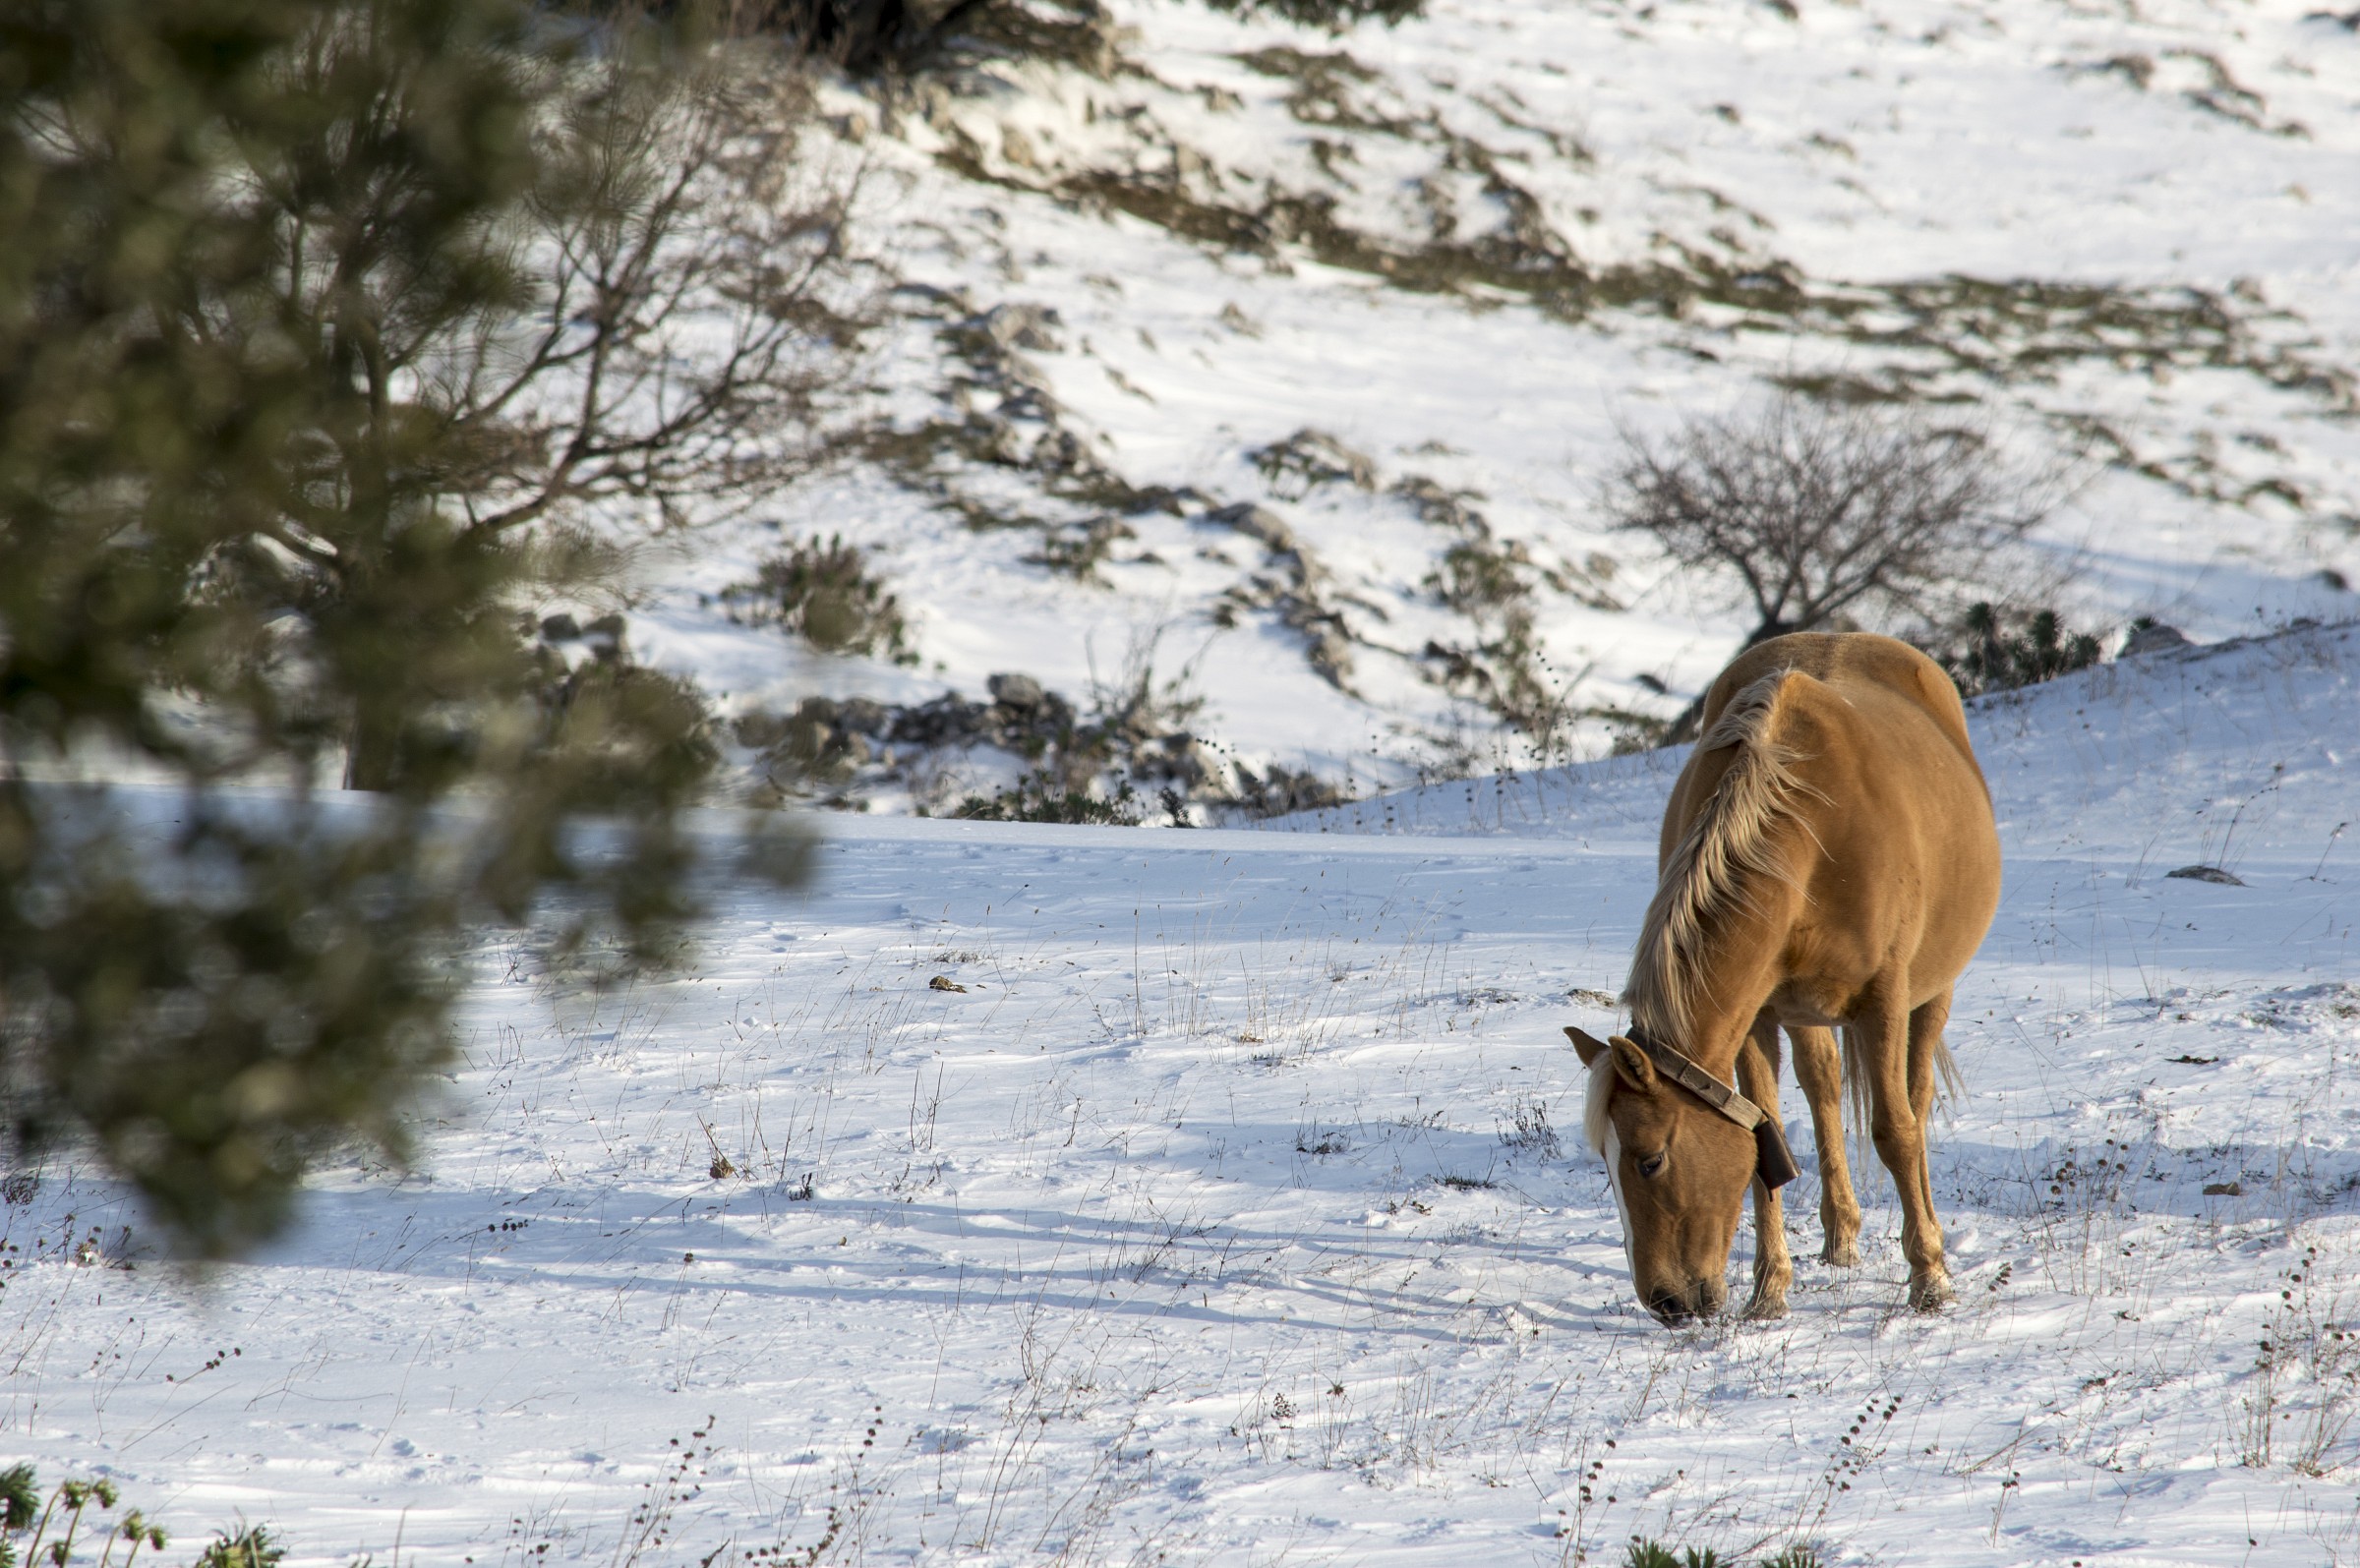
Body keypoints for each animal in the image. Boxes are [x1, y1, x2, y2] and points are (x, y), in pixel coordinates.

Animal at [1566, 632, 2000, 1323]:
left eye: (1650, 1161)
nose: (1665, 1302)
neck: (1811, 834)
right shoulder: (1757, 1014)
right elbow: (1761, 1134)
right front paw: (1769, 1290)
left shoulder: (1883, 1001)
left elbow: (1895, 1131)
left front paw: (1929, 1276)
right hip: (1805, 1012)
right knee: (1822, 1084)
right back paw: (1840, 1233)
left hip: (1933, 992)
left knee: (1916, 1097)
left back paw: (1925, 1230)